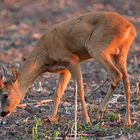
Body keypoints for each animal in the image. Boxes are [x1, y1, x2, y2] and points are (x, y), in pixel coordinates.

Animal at [0, 11, 136, 128]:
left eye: (5, 95)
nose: (3, 113)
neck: (44, 57)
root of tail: (130, 27)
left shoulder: (72, 60)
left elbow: (80, 90)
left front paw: (86, 120)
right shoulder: (64, 70)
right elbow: (58, 92)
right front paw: (51, 117)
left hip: (97, 48)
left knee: (116, 75)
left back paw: (99, 113)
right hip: (121, 53)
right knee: (127, 81)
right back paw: (127, 122)